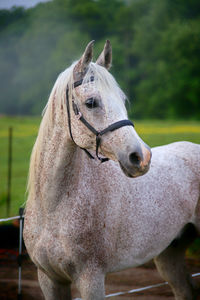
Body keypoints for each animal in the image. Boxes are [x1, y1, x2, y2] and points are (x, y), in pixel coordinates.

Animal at [23, 40, 200, 300]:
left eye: (122, 100)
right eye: (91, 102)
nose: (141, 157)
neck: (53, 207)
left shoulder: (91, 278)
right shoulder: (49, 279)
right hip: (170, 255)